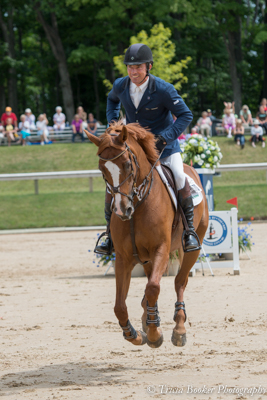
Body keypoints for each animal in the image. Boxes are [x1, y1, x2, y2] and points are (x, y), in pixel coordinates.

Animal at [85, 122, 210, 346]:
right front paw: (134, 334)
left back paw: (178, 328)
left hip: (193, 248)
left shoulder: (161, 248)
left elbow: (153, 287)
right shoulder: (123, 258)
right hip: (145, 257)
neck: (138, 204)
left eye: (128, 164)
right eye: (102, 169)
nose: (122, 210)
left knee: (179, 281)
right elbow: (120, 305)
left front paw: (154, 334)